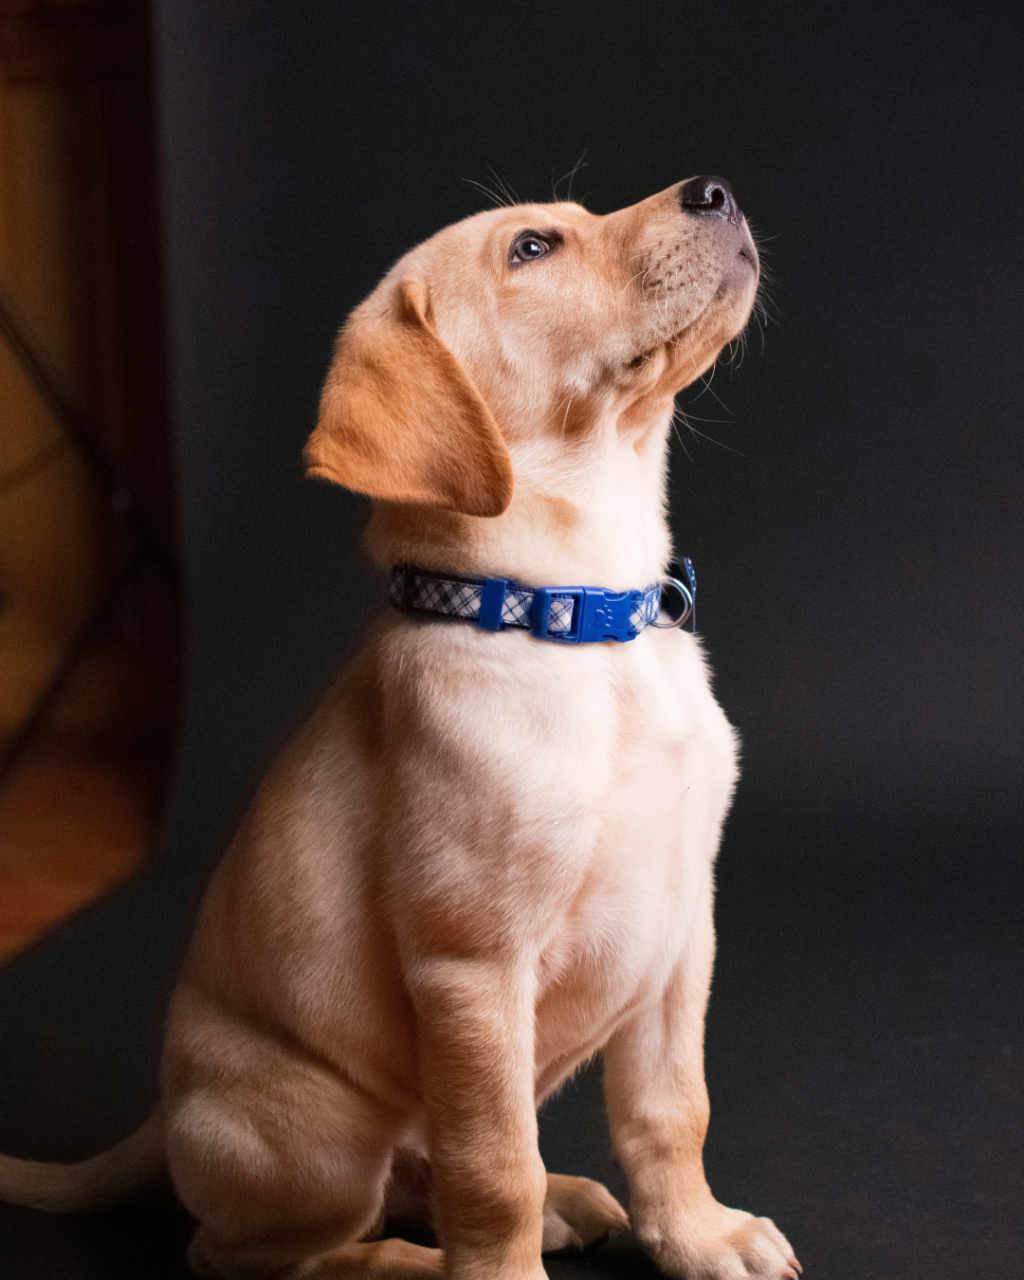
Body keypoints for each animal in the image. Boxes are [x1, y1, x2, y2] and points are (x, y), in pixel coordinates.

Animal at [0, 177, 798, 1280]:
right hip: (322, 1134)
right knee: (259, 1247)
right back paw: (415, 1260)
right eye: (532, 247)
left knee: (425, 1175)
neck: (580, 619)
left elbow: (671, 1111)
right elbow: (493, 1169)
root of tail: (162, 1119)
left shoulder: (682, 932)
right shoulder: (472, 966)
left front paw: (696, 1233)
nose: (714, 189)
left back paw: (566, 1198)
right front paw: (507, 1272)